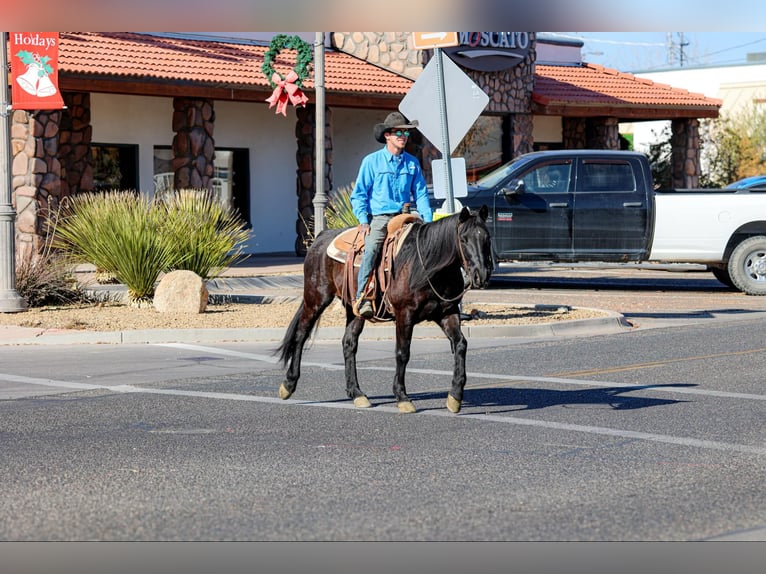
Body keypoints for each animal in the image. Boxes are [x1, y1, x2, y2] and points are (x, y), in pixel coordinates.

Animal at [276, 205, 493, 414]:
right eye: (463, 239)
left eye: (487, 238)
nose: (481, 275)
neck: (425, 265)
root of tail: (321, 237)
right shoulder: (404, 314)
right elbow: (402, 353)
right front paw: (402, 397)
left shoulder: (447, 313)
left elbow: (460, 344)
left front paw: (455, 396)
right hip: (316, 299)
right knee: (301, 335)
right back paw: (288, 384)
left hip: (354, 309)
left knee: (349, 343)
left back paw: (357, 393)